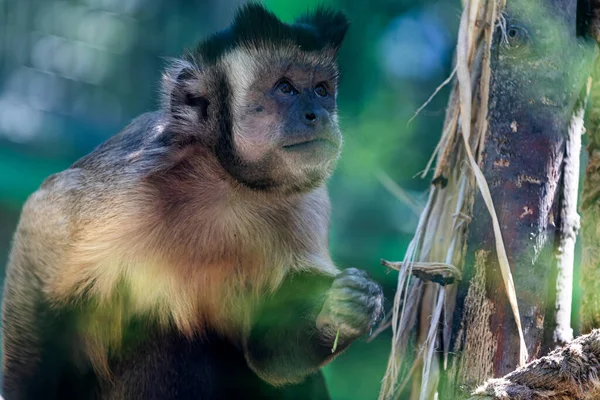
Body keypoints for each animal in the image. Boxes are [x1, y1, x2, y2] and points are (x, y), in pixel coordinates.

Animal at [0, 3, 384, 400]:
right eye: (286, 88)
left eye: (322, 90)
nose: (317, 115)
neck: (228, 182)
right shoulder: (130, 182)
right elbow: (45, 215)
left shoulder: (308, 202)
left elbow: (269, 355)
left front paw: (343, 311)